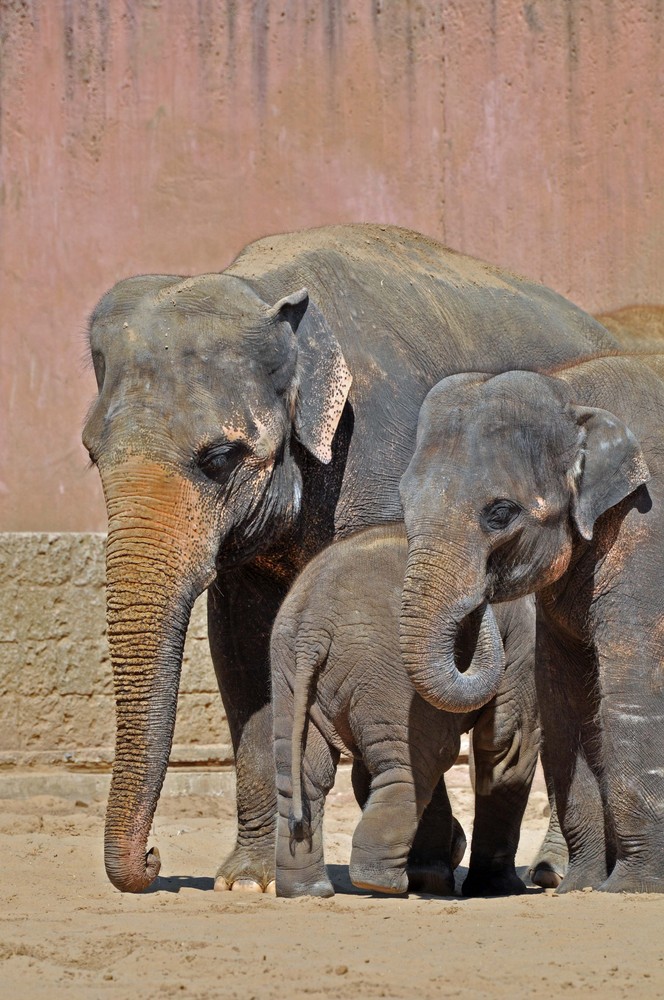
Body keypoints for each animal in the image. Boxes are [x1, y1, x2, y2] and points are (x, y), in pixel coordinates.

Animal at [81, 225, 616, 892]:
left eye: (220, 457)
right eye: (92, 453)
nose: (155, 861)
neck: (266, 288)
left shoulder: (387, 455)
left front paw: (426, 867)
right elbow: (242, 649)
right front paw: (249, 880)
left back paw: (546, 872)